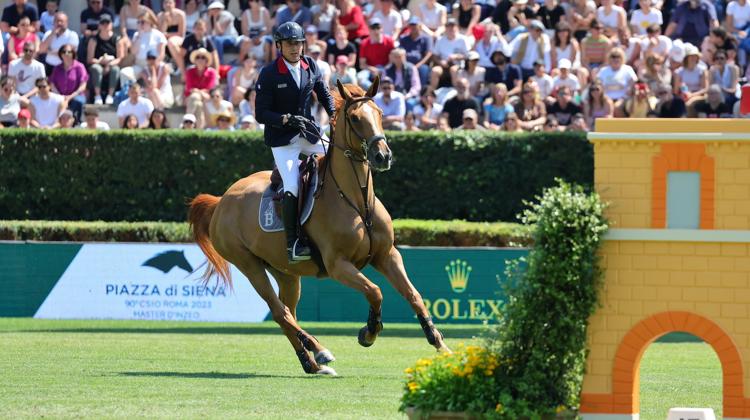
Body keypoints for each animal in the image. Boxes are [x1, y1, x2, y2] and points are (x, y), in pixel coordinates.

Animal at [188, 77, 452, 376]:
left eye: (380, 113)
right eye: (355, 118)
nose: (383, 156)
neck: (357, 200)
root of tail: (222, 200)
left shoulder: (387, 255)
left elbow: (413, 294)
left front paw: (439, 344)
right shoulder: (338, 265)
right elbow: (375, 291)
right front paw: (369, 333)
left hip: (285, 272)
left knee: (287, 312)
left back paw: (311, 362)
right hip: (249, 265)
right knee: (280, 311)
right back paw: (320, 350)